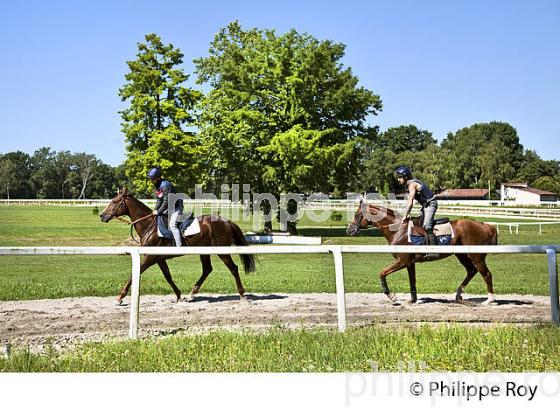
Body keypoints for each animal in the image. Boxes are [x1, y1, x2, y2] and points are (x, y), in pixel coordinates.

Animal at [100, 188, 256, 304]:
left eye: (114, 201)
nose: (102, 215)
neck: (149, 225)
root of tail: (227, 221)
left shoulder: (150, 257)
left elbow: (134, 274)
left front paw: (120, 297)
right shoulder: (158, 258)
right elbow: (168, 276)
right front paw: (179, 295)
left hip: (222, 251)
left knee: (233, 268)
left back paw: (242, 294)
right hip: (204, 251)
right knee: (207, 269)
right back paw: (192, 293)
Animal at [346, 202, 498, 304]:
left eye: (357, 215)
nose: (349, 230)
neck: (398, 229)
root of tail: (485, 225)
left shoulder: (402, 261)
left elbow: (382, 273)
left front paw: (391, 296)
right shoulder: (409, 263)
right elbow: (412, 280)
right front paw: (413, 300)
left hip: (476, 256)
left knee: (486, 274)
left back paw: (490, 300)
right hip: (462, 255)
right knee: (471, 271)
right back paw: (459, 295)